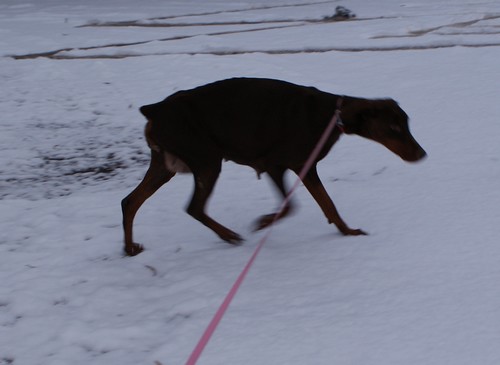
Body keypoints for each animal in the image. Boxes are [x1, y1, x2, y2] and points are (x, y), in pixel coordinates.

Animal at [121, 78, 426, 255]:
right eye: (394, 128)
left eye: (406, 123)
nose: (422, 154)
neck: (333, 115)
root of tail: (155, 110)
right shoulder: (277, 165)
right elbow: (292, 206)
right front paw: (263, 222)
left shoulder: (304, 166)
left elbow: (328, 205)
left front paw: (347, 232)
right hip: (207, 160)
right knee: (194, 207)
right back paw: (229, 235)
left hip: (166, 165)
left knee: (130, 202)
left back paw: (130, 248)